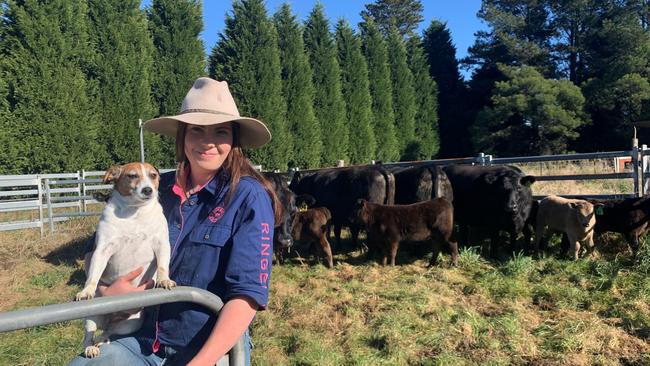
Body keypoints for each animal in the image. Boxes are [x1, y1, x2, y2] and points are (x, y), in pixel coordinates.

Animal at [75, 163, 175, 358]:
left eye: (153, 175)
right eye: (132, 176)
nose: (148, 190)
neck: (135, 212)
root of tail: (112, 316)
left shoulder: (162, 243)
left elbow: (162, 266)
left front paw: (164, 280)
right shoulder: (102, 250)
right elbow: (93, 276)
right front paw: (86, 290)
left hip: (131, 323)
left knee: (108, 332)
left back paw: (101, 340)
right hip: (92, 317)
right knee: (88, 336)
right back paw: (91, 347)